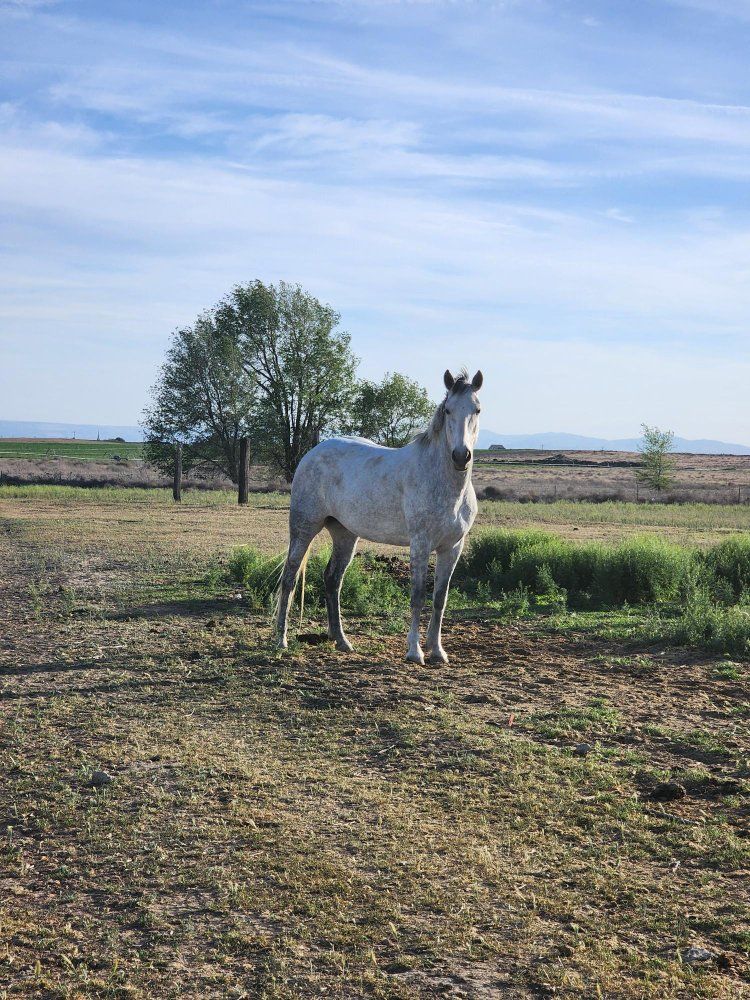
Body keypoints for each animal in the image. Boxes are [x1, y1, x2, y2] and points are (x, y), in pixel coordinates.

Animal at [276, 368, 483, 664]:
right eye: (447, 410)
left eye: (477, 409)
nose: (460, 456)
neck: (443, 483)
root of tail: (311, 454)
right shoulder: (420, 545)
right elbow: (418, 596)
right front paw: (415, 652)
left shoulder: (453, 547)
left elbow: (439, 598)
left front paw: (437, 650)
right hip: (304, 528)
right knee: (290, 577)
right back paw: (281, 640)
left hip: (345, 534)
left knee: (332, 579)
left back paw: (342, 641)